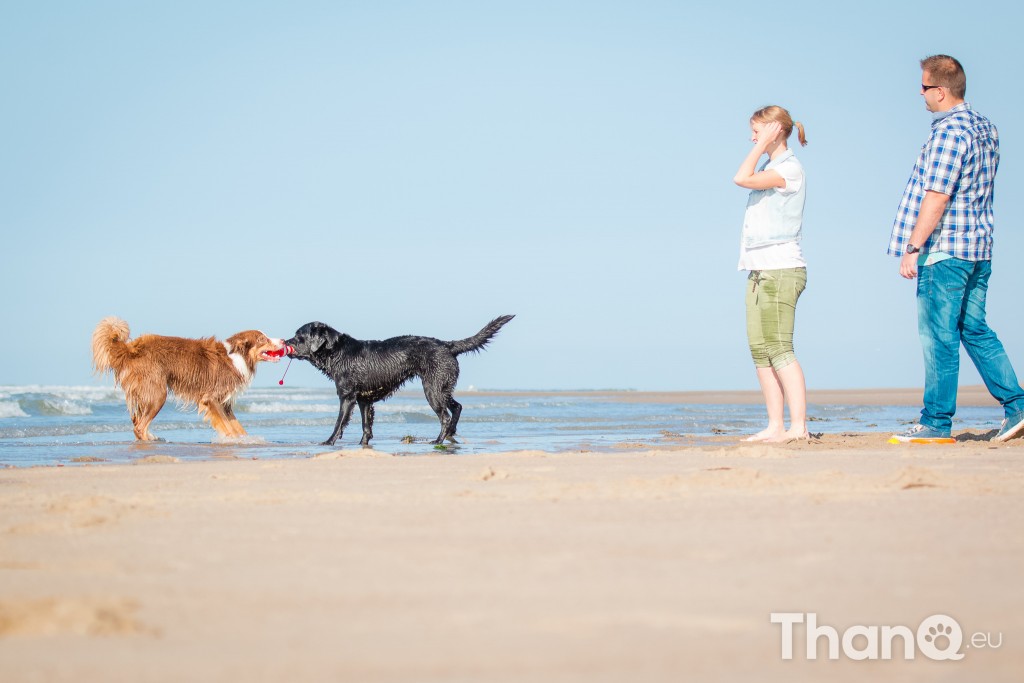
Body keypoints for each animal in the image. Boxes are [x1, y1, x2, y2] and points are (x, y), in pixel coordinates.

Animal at [91, 317, 284, 440]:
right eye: (262, 339)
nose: (282, 340)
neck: (238, 357)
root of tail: (130, 348)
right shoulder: (211, 398)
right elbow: (228, 427)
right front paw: (231, 439)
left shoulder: (225, 403)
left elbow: (238, 428)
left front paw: (245, 440)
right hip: (158, 394)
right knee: (139, 427)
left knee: (136, 422)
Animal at [286, 317, 512, 448]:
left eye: (298, 336)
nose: (285, 342)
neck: (337, 352)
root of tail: (447, 345)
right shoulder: (364, 400)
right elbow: (366, 425)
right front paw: (363, 444)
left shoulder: (347, 397)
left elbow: (339, 422)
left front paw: (328, 441)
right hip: (442, 387)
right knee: (457, 407)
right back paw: (450, 435)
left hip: (432, 389)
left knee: (445, 416)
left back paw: (438, 440)